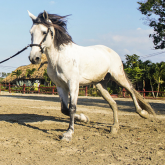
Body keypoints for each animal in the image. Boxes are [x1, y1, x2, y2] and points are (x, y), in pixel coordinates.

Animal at [27, 10, 155, 141]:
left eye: (44, 32)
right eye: (31, 32)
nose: (34, 58)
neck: (59, 58)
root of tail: (111, 51)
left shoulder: (73, 84)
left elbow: (72, 108)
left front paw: (69, 133)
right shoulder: (60, 86)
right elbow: (65, 110)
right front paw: (85, 118)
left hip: (118, 77)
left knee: (131, 91)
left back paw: (143, 114)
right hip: (100, 86)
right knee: (114, 104)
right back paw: (114, 127)